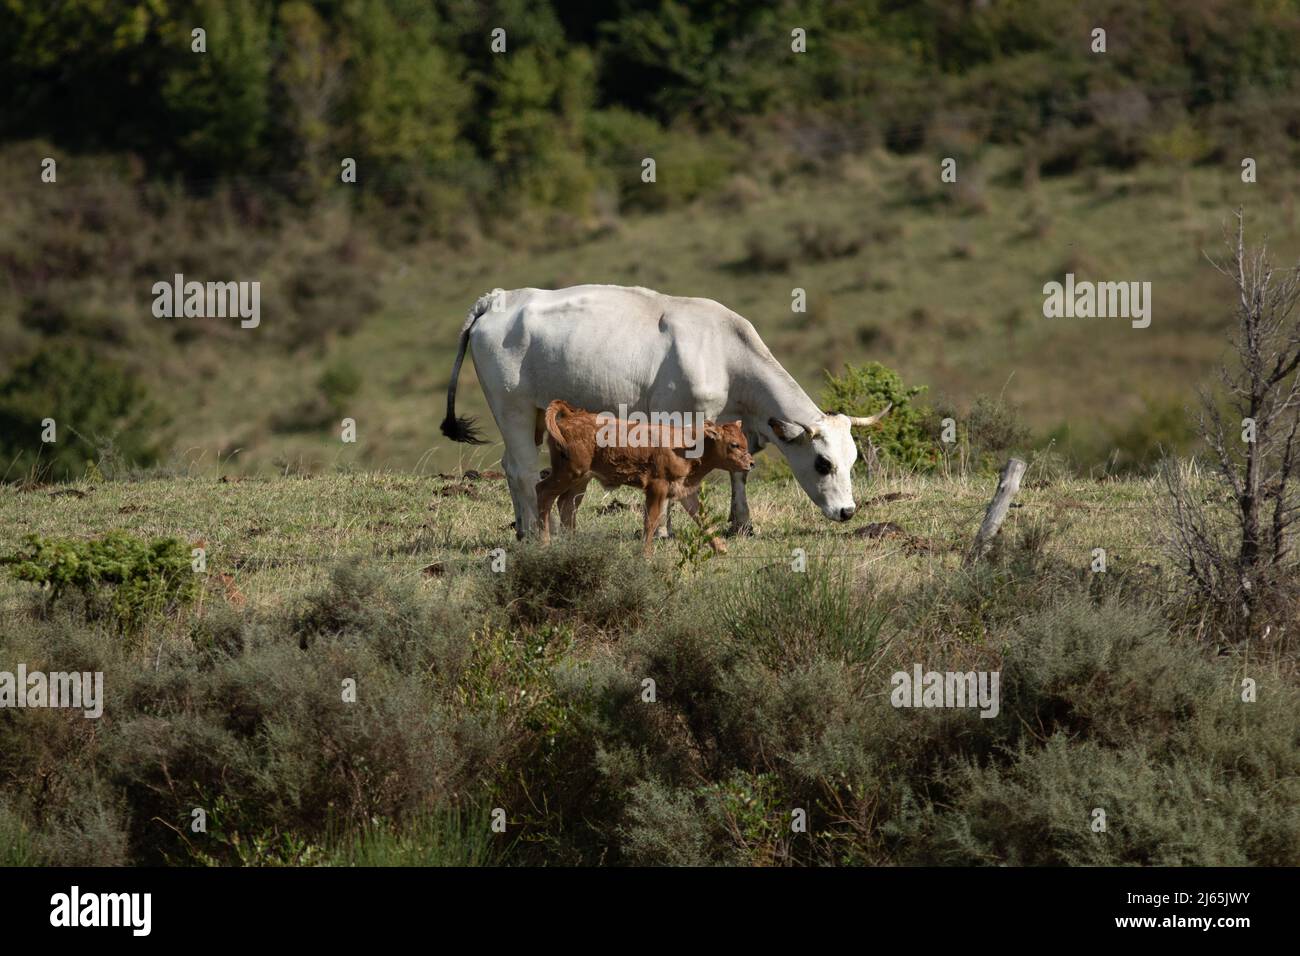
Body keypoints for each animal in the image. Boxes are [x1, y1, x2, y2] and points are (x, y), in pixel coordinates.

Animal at [440, 285, 891, 538]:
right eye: (822, 463)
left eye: (853, 460)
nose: (848, 511)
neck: (724, 353)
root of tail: (498, 299)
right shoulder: (676, 420)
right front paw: (663, 531)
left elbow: (740, 473)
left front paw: (741, 522)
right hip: (512, 407)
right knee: (523, 470)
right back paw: (536, 531)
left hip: (533, 415)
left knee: (511, 467)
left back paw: (522, 528)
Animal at [536, 399, 754, 556]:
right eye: (734, 444)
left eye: (744, 441)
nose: (751, 463)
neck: (688, 445)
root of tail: (571, 416)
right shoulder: (657, 488)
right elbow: (651, 521)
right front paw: (646, 555)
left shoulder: (684, 490)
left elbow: (702, 518)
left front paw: (721, 548)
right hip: (569, 473)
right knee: (544, 493)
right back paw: (544, 544)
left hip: (581, 480)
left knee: (566, 504)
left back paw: (572, 545)